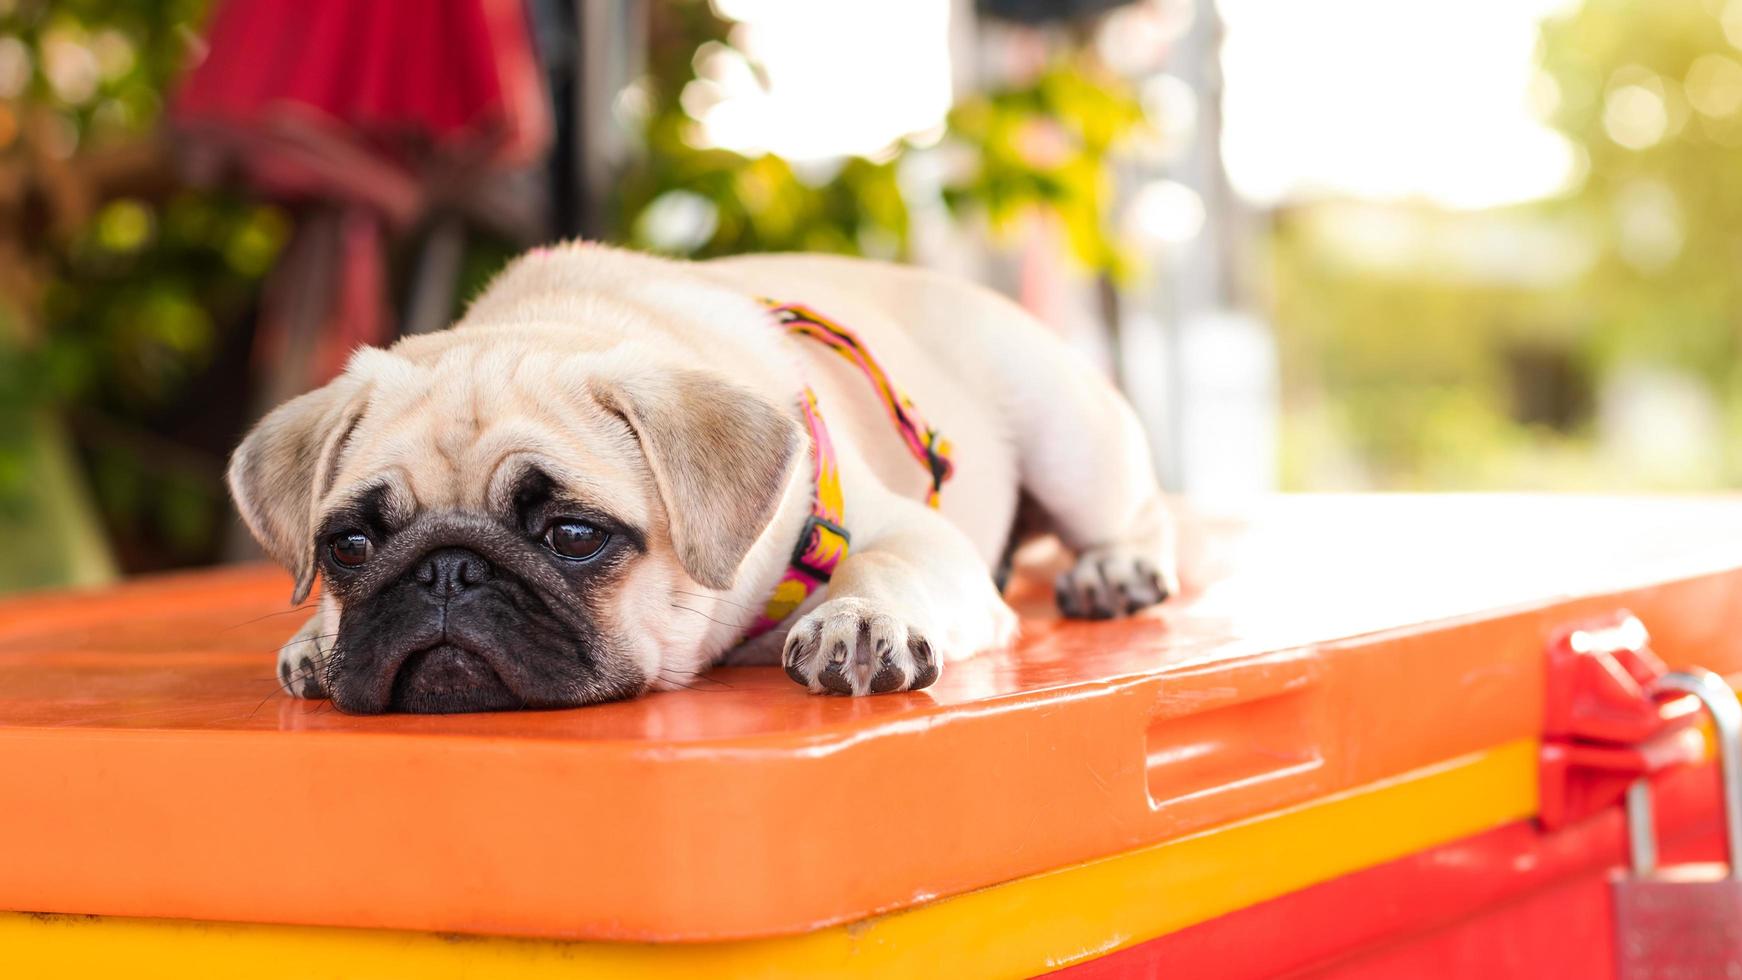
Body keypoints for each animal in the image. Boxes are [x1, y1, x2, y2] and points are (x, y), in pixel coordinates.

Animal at [231, 245, 1177, 713]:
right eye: (350, 547)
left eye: (573, 536)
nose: (446, 571)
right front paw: (317, 639)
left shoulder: (913, 532)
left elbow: (886, 563)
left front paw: (858, 619)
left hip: (1070, 440)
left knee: (1136, 511)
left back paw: (1115, 569)